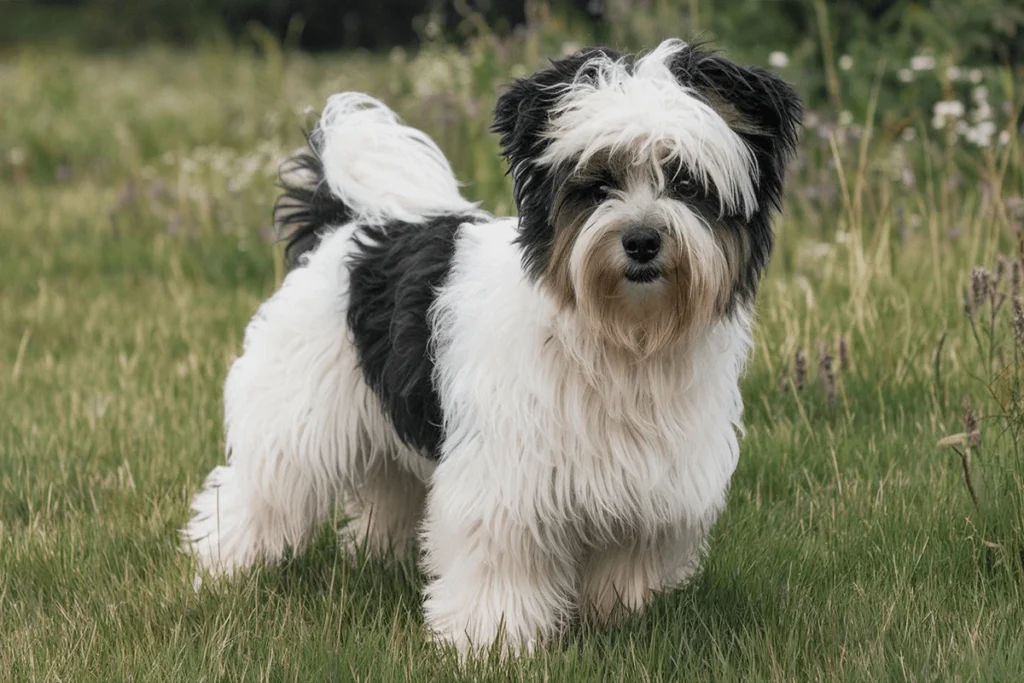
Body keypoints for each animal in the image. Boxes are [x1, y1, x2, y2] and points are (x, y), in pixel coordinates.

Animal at [182, 38, 798, 655]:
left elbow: (627, 563)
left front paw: (621, 622)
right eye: (598, 186)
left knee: (387, 490)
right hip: (297, 417)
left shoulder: (653, 487)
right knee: (256, 491)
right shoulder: (507, 482)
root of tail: (348, 227)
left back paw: (376, 560)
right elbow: (501, 563)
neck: (620, 336)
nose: (642, 240)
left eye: (688, 184)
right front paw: (489, 641)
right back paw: (224, 570)